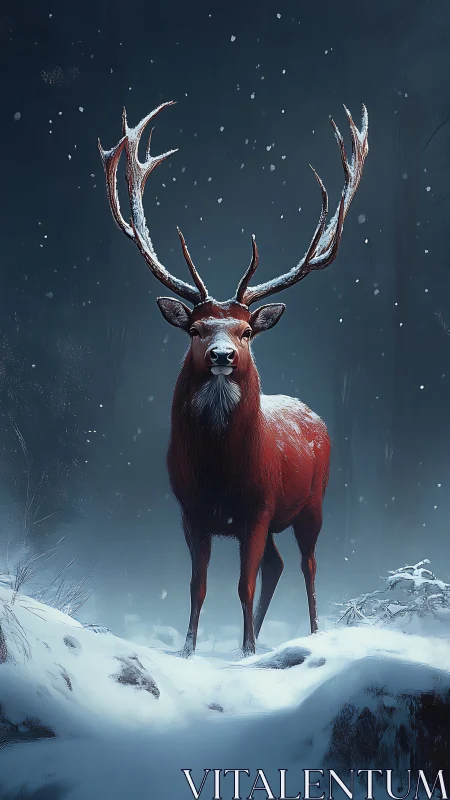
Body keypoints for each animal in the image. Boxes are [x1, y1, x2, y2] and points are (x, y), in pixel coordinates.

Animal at [98, 101, 368, 657]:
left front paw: (245, 652)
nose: (222, 354)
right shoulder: (190, 510)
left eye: (246, 331)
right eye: (196, 329)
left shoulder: (259, 507)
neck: (220, 469)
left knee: (307, 564)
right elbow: (198, 585)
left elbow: (242, 583)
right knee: (278, 565)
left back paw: (311, 634)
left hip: (314, 502)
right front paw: (190, 648)